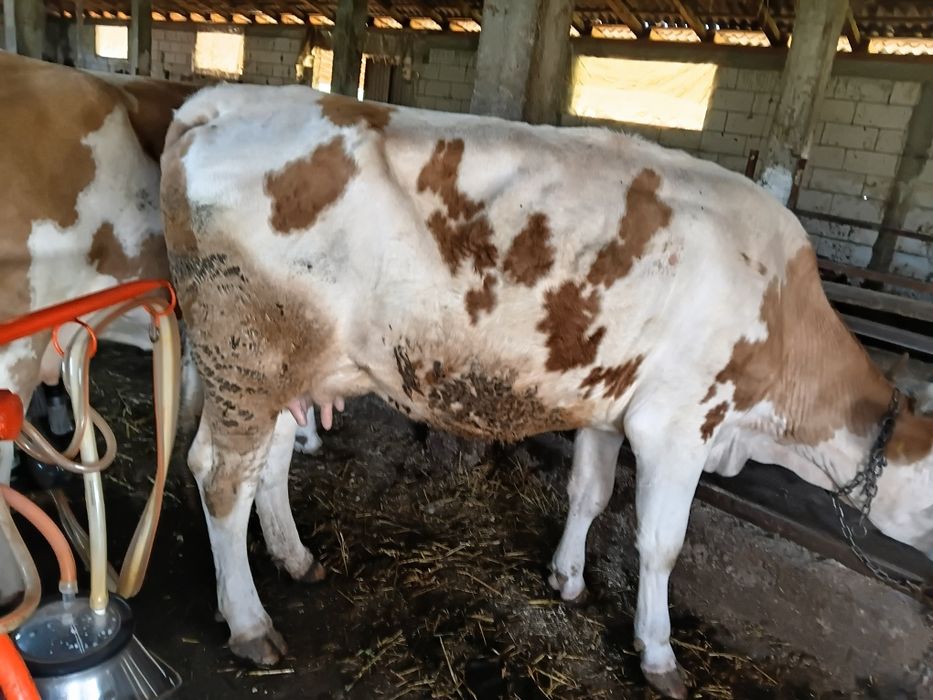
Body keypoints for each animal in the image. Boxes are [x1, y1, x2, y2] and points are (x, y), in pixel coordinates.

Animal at [161, 83, 933, 698]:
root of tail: (223, 99)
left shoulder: (608, 406)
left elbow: (588, 493)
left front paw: (566, 578)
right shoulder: (677, 423)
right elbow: (662, 544)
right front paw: (658, 655)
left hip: (282, 368)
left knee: (270, 465)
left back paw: (295, 560)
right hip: (246, 355)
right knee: (220, 477)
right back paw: (249, 622)